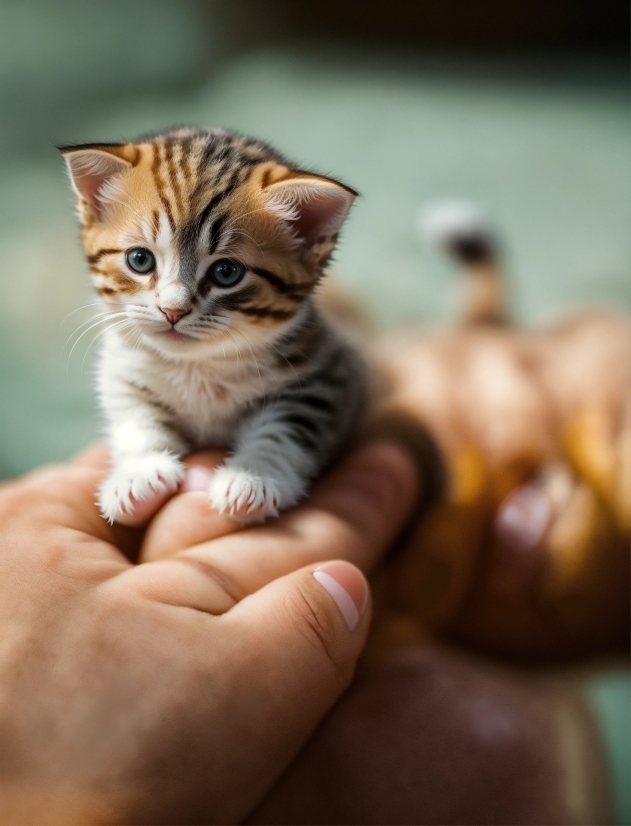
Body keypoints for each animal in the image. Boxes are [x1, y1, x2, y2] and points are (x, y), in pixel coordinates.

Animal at [61, 124, 368, 520]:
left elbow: (288, 430)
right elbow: (135, 419)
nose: (173, 310)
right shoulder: (124, 371)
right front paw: (138, 471)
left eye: (226, 272)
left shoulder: (326, 376)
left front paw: (253, 477)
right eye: (140, 260)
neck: (198, 366)